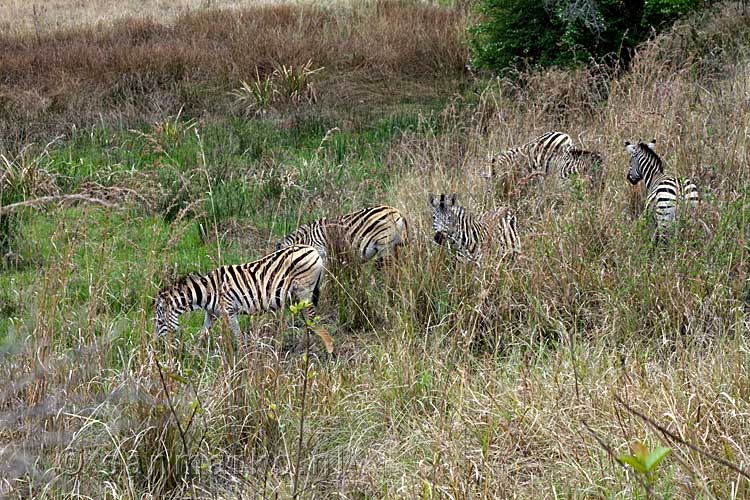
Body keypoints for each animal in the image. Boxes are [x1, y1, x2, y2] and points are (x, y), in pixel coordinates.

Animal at [154, 245, 324, 338]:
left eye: (160, 322)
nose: (158, 345)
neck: (207, 292)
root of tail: (312, 249)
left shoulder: (229, 311)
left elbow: (238, 337)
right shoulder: (212, 313)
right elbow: (203, 334)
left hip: (304, 291)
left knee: (312, 317)